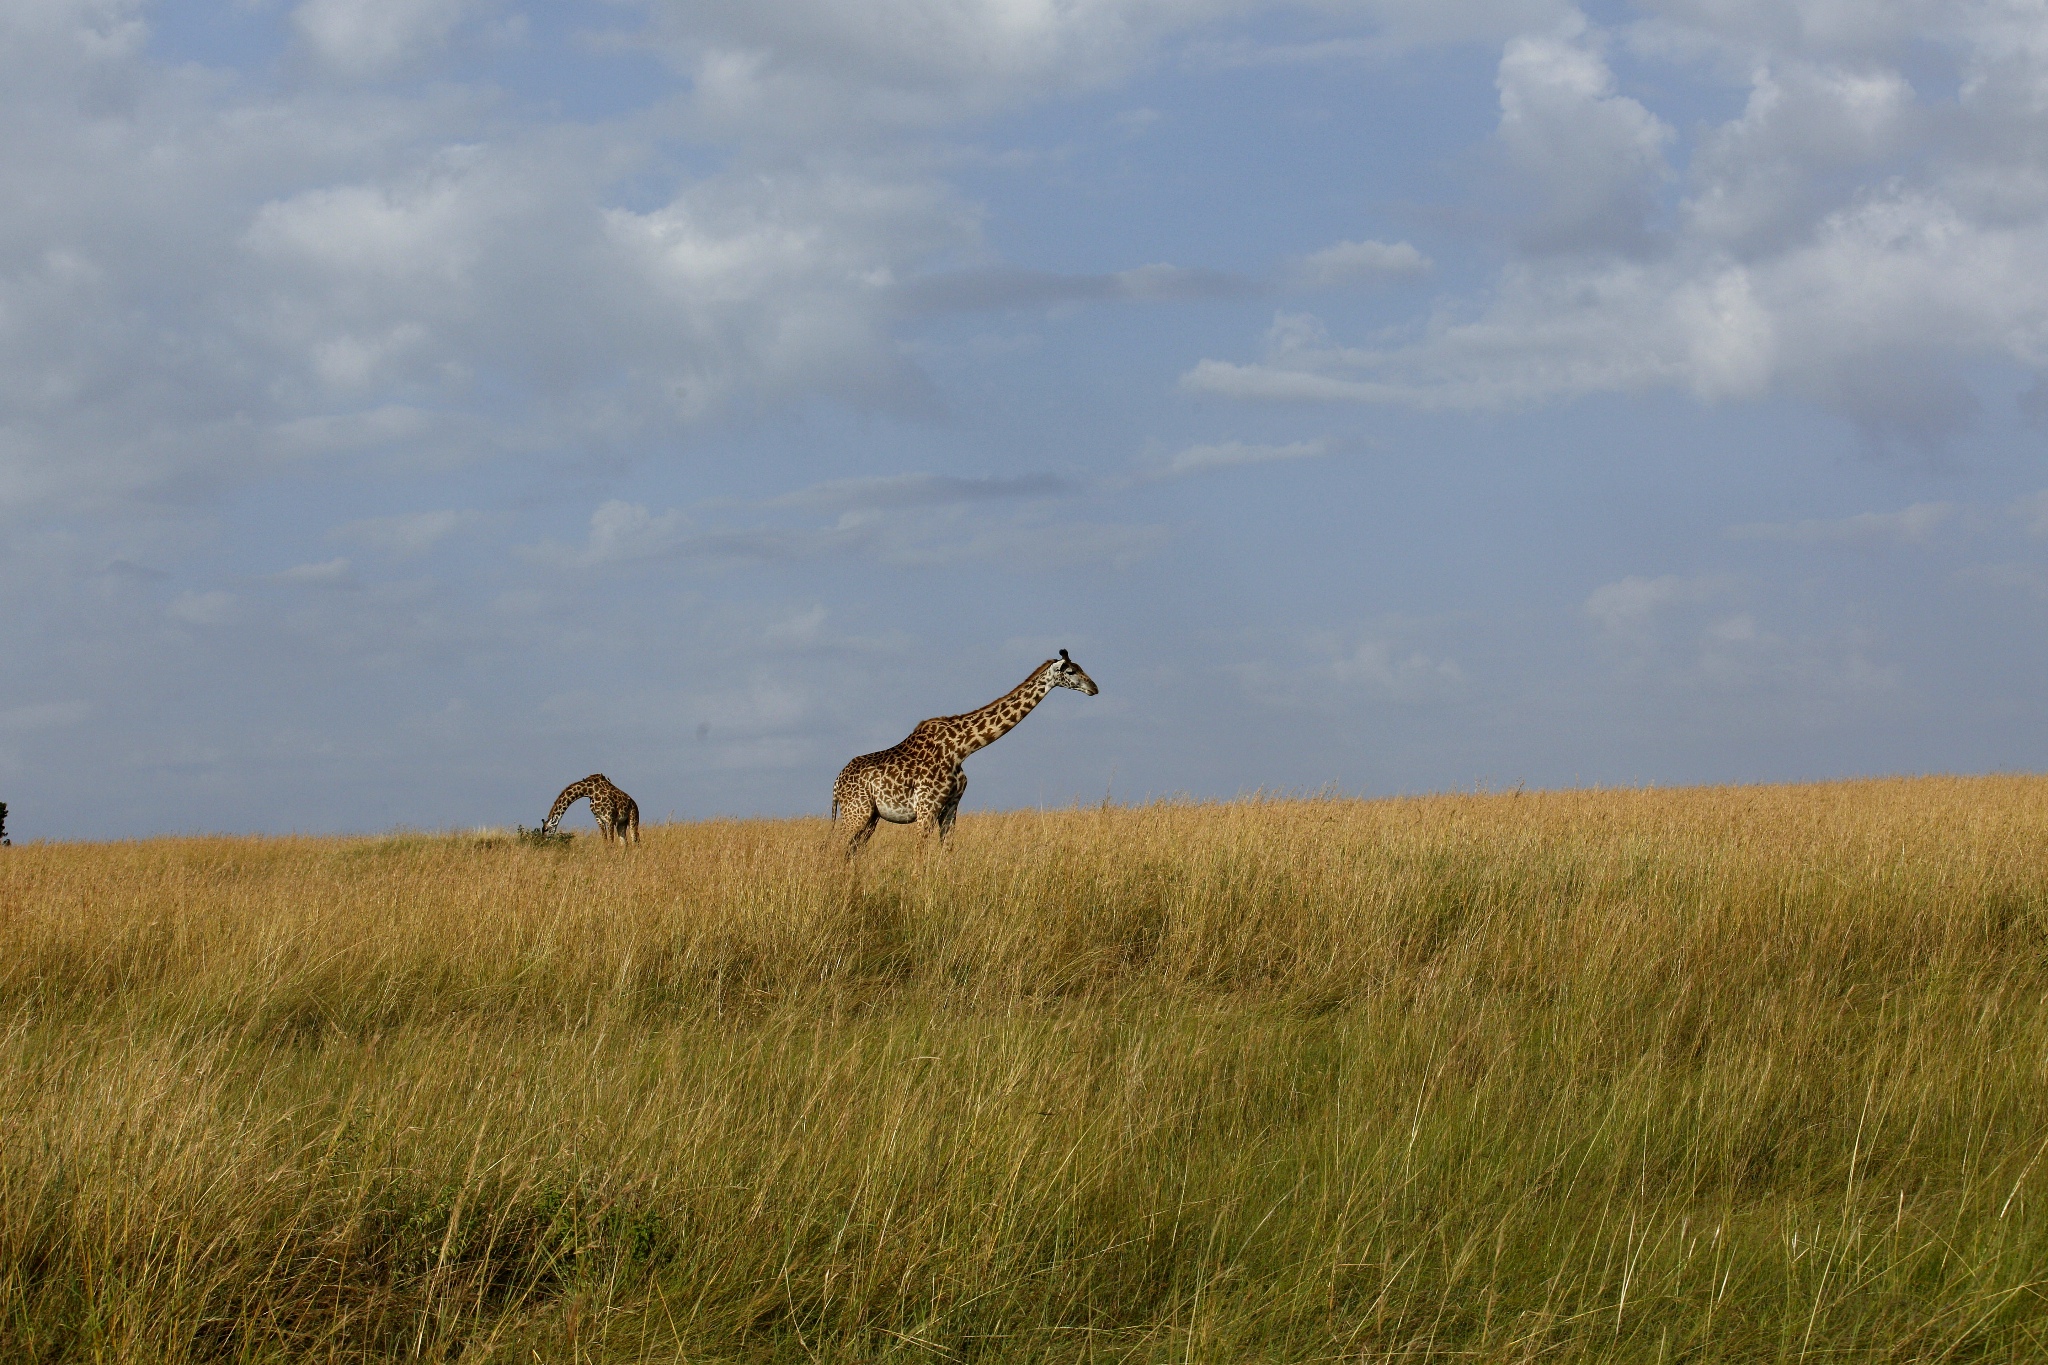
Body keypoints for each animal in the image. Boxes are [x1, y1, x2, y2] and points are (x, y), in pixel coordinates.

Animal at [827, 650, 1097, 855]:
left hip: (870, 816)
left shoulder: (951, 805)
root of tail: (836, 783)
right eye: (1070, 671)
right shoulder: (927, 806)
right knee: (833, 848)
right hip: (856, 812)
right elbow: (920, 854)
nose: (1094, 687)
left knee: (850, 852)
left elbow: (947, 851)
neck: (961, 748)